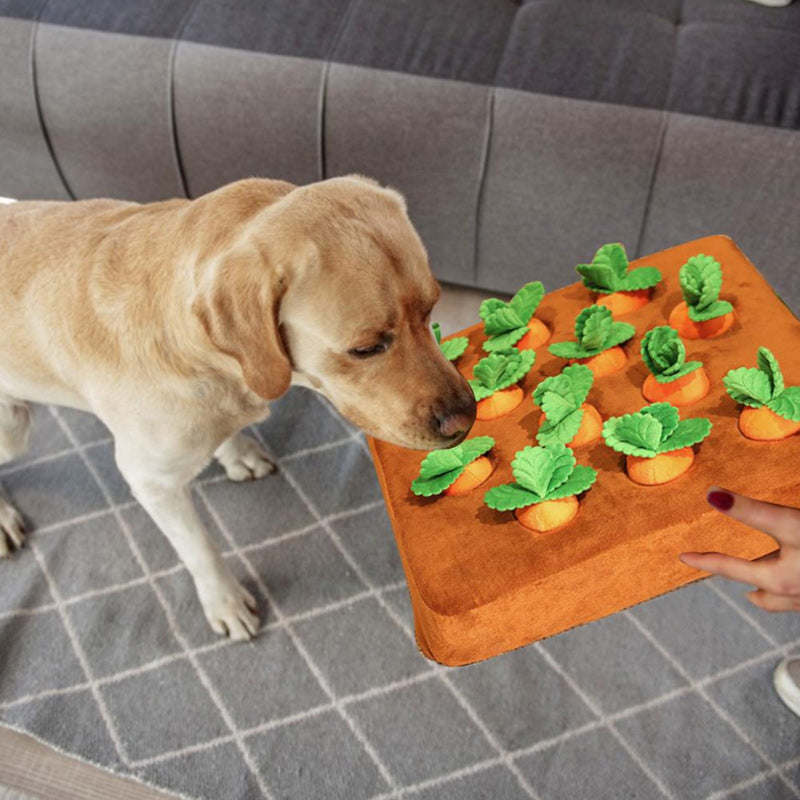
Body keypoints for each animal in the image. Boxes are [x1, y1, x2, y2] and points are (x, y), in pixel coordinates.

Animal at [0, 175, 476, 636]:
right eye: (366, 348)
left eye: (431, 309)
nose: (466, 419)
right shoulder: (150, 480)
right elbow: (200, 549)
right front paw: (224, 601)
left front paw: (236, 452)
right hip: (14, 427)